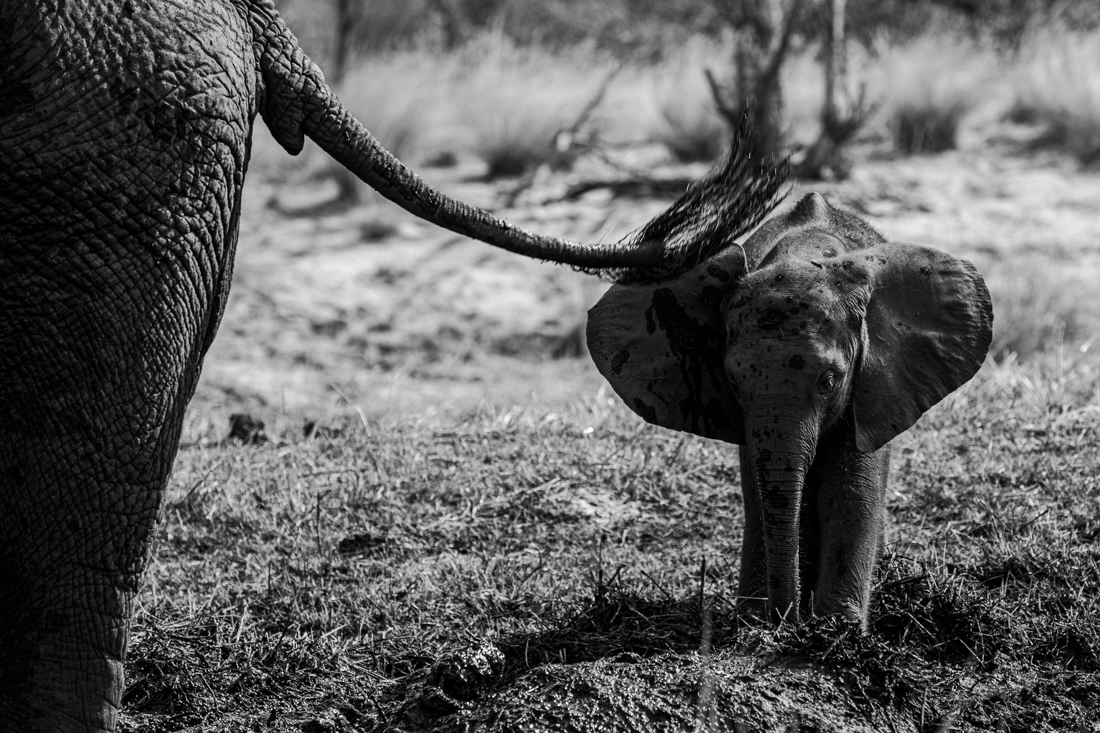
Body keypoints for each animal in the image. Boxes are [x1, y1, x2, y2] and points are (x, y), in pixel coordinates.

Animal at [587, 192, 993, 629]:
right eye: (734, 383)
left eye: (828, 381)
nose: (788, 620)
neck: (805, 254)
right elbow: (759, 488)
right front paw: (757, 621)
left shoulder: (874, 383)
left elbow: (852, 485)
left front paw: (838, 629)